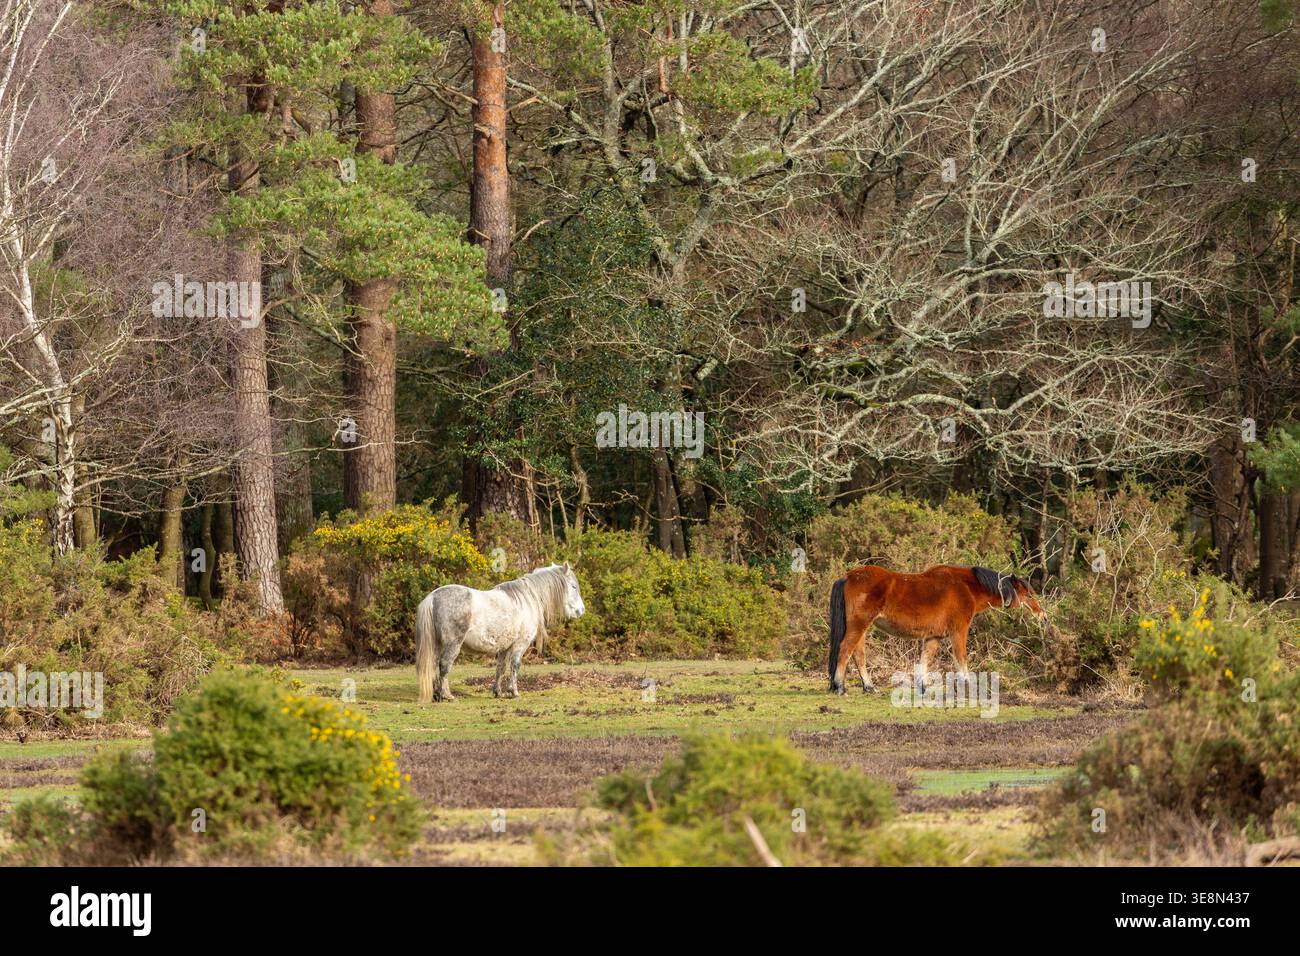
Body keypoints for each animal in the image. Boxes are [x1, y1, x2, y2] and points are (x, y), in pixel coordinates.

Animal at [416, 562, 586, 703]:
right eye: (573, 587)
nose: (581, 610)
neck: (527, 599)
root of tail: (433, 597)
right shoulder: (520, 645)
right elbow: (515, 665)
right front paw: (514, 692)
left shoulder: (504, 648)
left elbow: (500, 668)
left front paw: (498, 692)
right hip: (452, 644)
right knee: (444, 665)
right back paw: (447, 695)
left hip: (438, 644)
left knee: (435, 666)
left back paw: (437, 695)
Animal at [827, 564, 1049, 695]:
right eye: (1029, 595)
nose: (1043, 616)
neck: (967, 587)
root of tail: (848, 576)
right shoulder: (958, 632)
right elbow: (961, 658)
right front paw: (967, 685)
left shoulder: (934, 636)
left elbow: (925, 659)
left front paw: (923, 687)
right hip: (859, 625)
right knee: (845, 650)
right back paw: (840, 686)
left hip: (862, 628)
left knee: (858, 655)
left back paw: (868, 686)